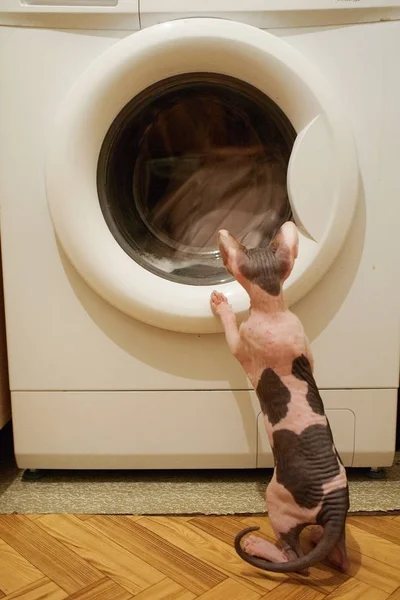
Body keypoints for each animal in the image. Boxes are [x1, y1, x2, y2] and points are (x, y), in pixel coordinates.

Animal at [211, 223, 348, 576]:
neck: (273, 307)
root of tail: (336, 504)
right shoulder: (306, 348)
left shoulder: (242, 344)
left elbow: (232, 334)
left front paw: (221, 305)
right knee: (339, 557)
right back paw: (323, 543)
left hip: (278, 501)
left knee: (294, 559)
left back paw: (258, 546)